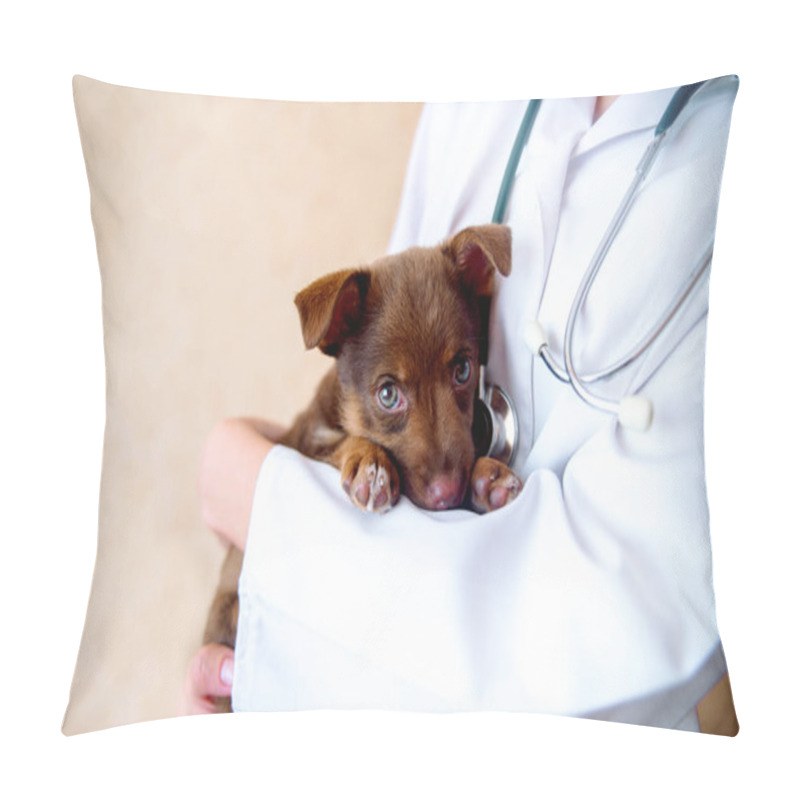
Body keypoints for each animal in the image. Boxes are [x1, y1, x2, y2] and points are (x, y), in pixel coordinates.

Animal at [203, 223, 520, 708]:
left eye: (464, 370)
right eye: (388, 395)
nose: (448, 495)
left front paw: (489, 478)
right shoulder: (306, 439)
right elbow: (347, 442)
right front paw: (370, 465)